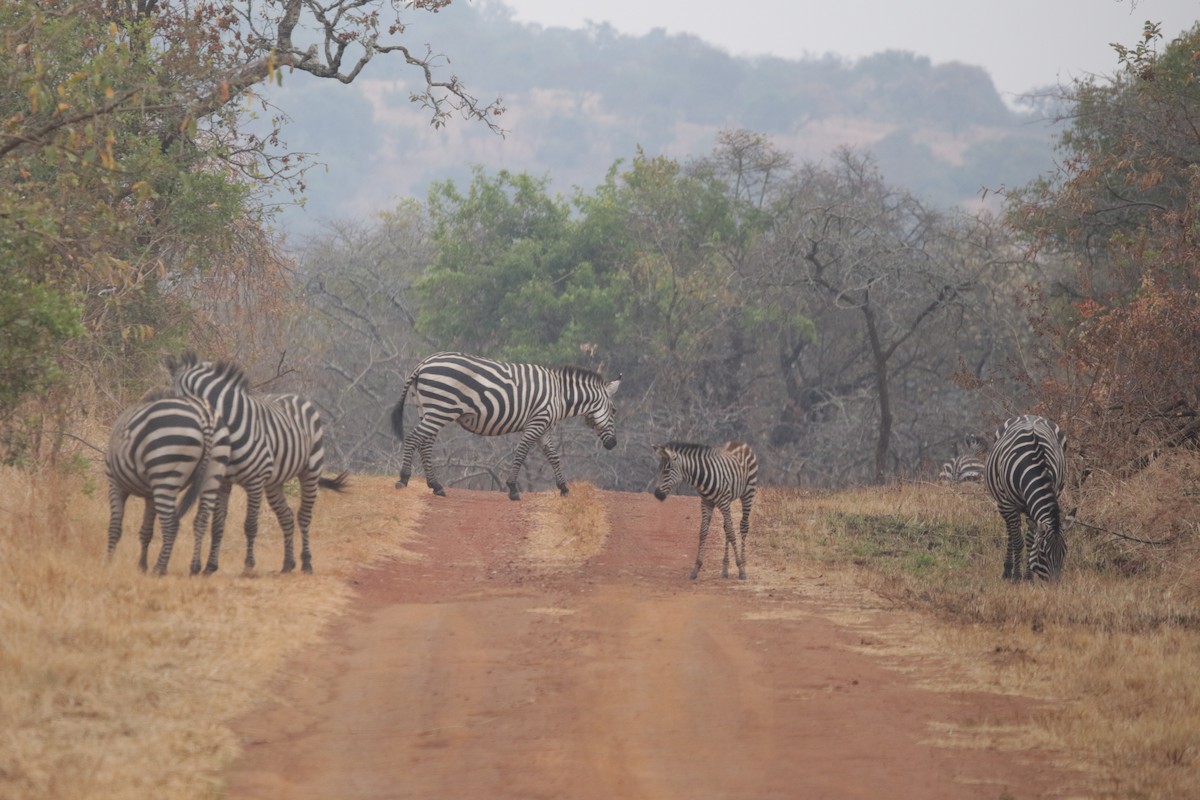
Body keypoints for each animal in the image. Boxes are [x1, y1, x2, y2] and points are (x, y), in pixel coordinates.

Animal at [105, 389, 231, 576]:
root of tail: (206, 418)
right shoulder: (150, 495)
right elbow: (146, 531)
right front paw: (142, 566)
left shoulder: (115, 482)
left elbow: (115, 526)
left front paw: (109, 562)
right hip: (214, 471)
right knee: (201, 520)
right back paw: (195, 567)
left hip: (165, 471)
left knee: (171, 524)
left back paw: (160, 568)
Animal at [165, 352, 349, 574]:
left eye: (175, 398)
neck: (231, 426)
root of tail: (295, 396)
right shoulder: (224, 482)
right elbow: (217, 525)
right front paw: (210, 566)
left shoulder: (254, 482)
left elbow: (250, 525)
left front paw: (249, 565)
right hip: (273, 483)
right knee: (286, 516)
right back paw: (288, 563)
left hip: (310, 470)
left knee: (304, 516)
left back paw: (306, 563)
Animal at [392, 352, 621, 501]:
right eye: (614, 411)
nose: (613, 444)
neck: (560, 396)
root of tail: (424, 363)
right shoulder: (536, 423)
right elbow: (521, 453)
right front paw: (512, 489)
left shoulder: (543, 428)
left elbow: (554, 457)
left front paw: (564, 488)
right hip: (441, 409)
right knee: (413, 438)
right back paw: (403, 479)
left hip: (429, 409)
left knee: (425, 443)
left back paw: (436, 486)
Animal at [652, 441, 759, 580]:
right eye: (659, 470)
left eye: (667, 471)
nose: (657, 494)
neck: (702, 478)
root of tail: (740, 443)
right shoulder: (706, 503)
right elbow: (703, 532)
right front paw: (696, 568)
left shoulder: (723, 502)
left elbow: (731, 533)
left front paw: (740, 568)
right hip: (729, 500)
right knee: (726, 527)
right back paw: (725, 569)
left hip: (747, 494)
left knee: (743, 526)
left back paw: (743, 564)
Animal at [984, 414, 1068, 581]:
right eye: (1043, 553)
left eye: (1064, 552)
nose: (1055, 584)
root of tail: (1031, 416)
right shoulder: (1009, 504)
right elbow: (1018, 541)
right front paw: (1017, 576)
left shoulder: (1033, 508)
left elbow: (1030, 540)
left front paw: (1028, 576)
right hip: (1003, 504)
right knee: (1011, 532)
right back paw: (1007, 570)